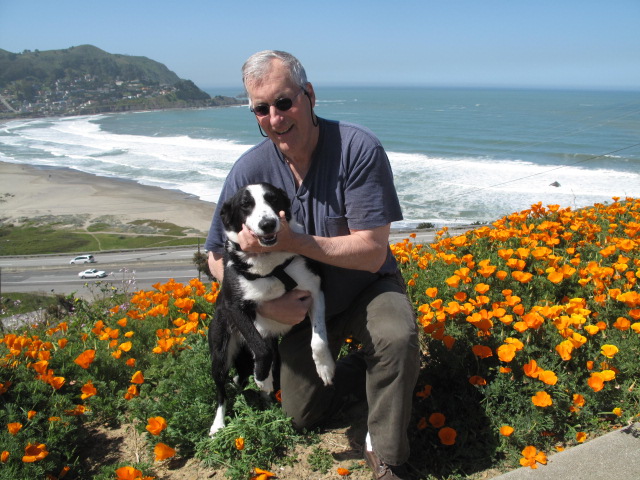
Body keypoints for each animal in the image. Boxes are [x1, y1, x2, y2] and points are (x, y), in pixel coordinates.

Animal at [208, 182, 335, 437]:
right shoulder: (234, 308)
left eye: (273, 199)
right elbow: (260, 348)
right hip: (220, 352)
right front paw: (262, 378)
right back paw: (219, 423)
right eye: (245, 205)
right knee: (221, 390)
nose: (267, 223)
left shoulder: (315, 290)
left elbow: (318, 340)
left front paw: (325, 367)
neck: (270, 262)